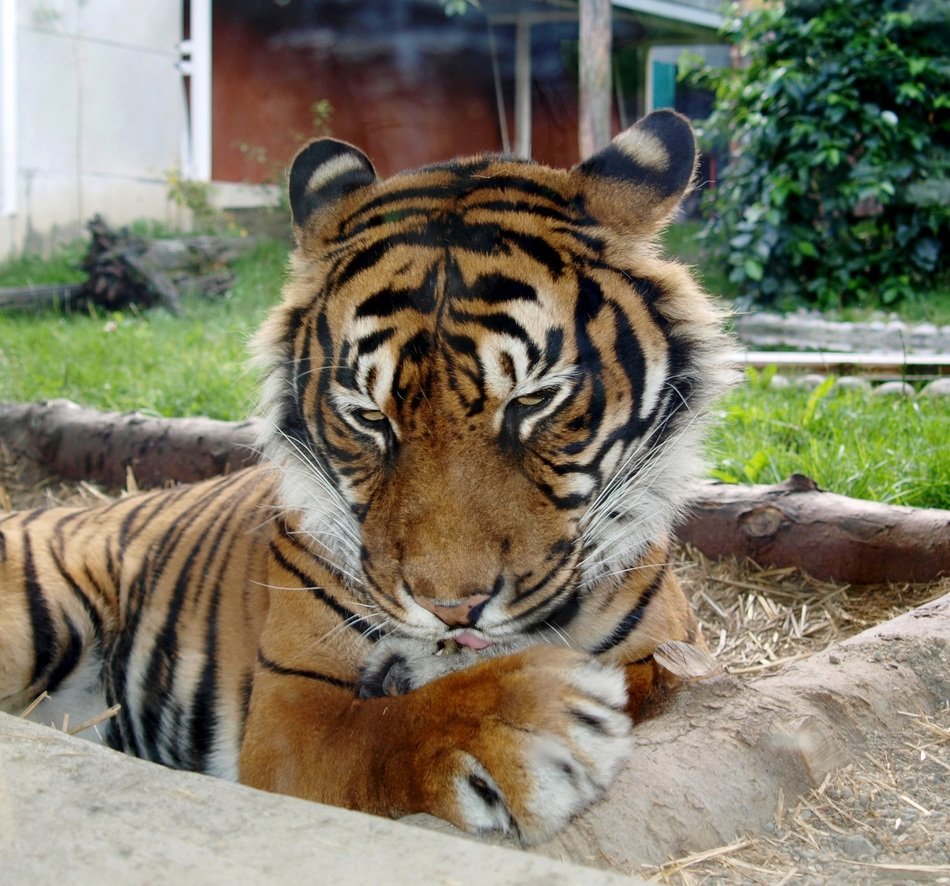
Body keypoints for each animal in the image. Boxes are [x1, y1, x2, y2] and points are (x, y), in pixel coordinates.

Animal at [0, 110, 733, 845]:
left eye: (531, 401)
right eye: (369, 416)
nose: (453, 609)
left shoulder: (674, 641)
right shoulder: (289, 712)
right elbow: (379, 734)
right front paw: (526, 719)